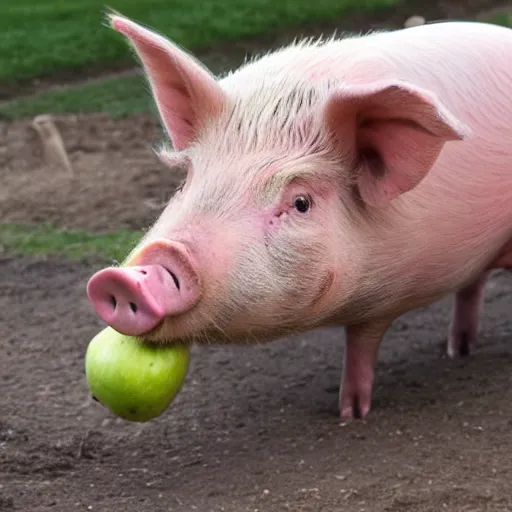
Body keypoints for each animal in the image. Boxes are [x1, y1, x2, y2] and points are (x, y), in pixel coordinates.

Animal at [87, 13, 512, 420]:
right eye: (185, 183)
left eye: (301, 202)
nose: (127, 277)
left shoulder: (383, 298)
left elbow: (362, 345)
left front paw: (351, 414)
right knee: (472, 285)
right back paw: (458, 351)